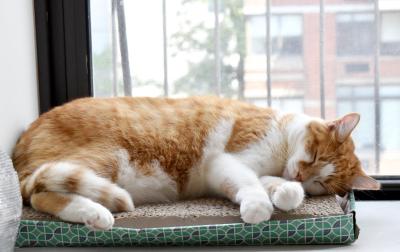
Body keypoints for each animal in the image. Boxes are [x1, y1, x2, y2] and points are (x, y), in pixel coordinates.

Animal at [10, 96, 380, 230]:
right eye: (315, 155)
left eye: (320, 182)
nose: (302, 174)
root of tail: (19, 150)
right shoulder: (227, 161)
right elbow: (250, 184)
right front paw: (259, 207)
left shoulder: (268, 173)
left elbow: (276, 187)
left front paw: (287, 194)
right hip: (108, 158)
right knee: (39, 193)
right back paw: (97, 213)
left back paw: (93, 213)